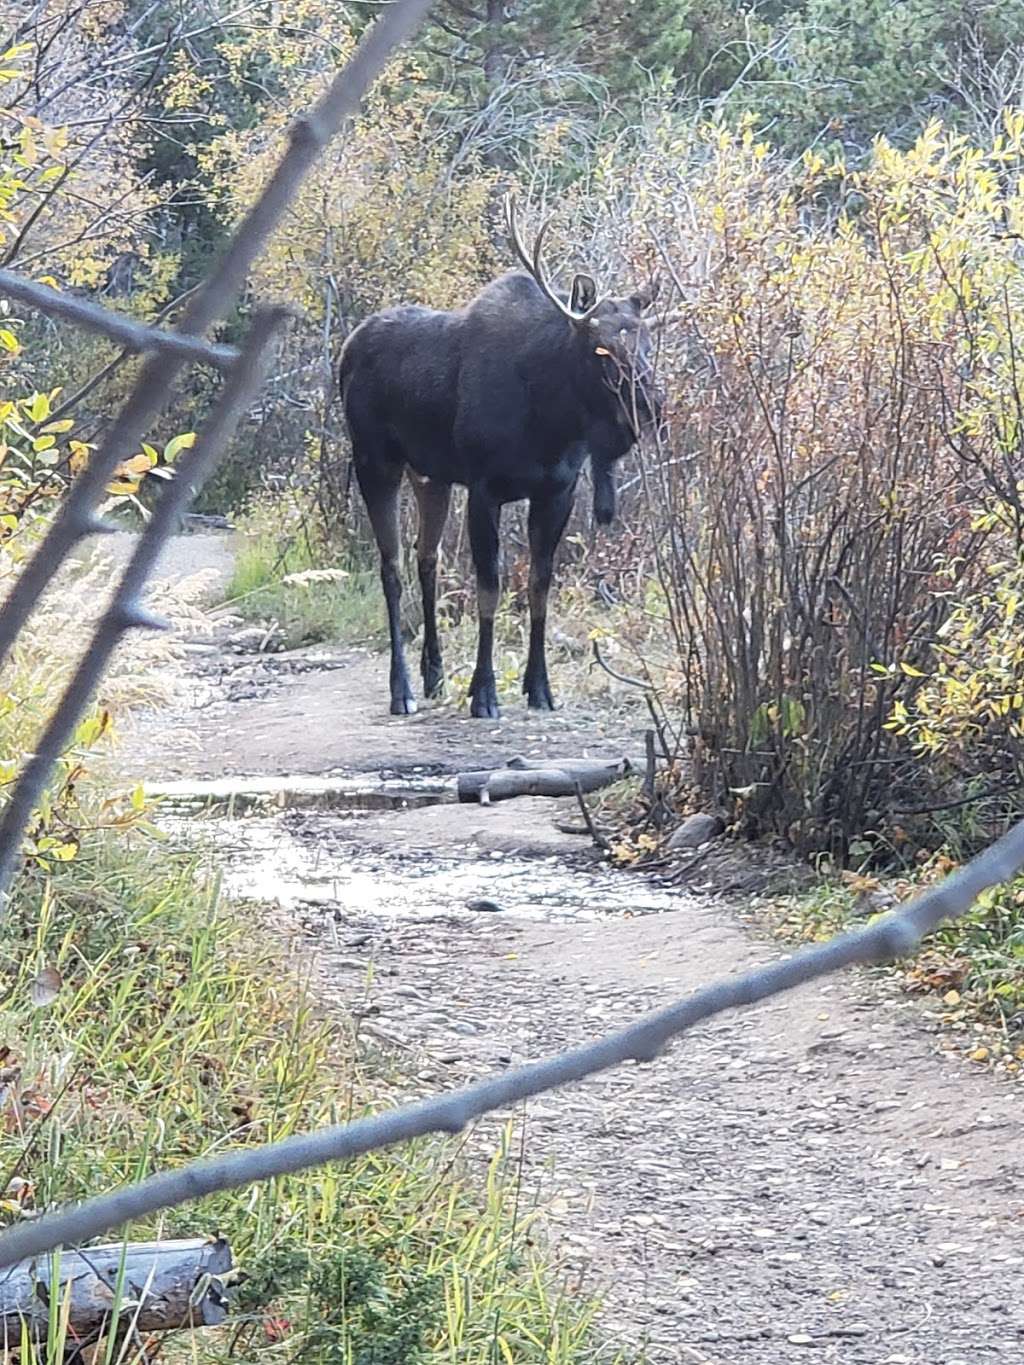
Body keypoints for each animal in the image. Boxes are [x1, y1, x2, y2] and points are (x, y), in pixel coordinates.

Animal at [341, 199, 666, 726]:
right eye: (601, 347)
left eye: (646, 342)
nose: (651, 406)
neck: (551, 420)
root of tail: (345, 350)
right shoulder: (484, 488)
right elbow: (490, 588)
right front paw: (485, 693)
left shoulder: (558, 490)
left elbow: (539, 584)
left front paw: (540, 688)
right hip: (375, 462)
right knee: (390, 567)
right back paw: (402, 689)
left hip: (430, 476)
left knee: (426, 557)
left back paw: (434, 675)